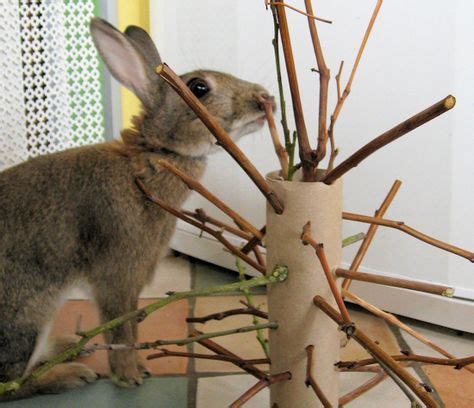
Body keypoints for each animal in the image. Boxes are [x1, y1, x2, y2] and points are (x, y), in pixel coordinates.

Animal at [0, 18, 274, 398]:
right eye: (199, 87)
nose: (265, 99)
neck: (154, 155)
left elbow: (130, 327)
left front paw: (136, 368)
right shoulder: (118, 278)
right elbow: (121, 330)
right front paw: (129, 375)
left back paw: (68, 346)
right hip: (25, 318)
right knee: (11, 384)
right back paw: (71, 374)